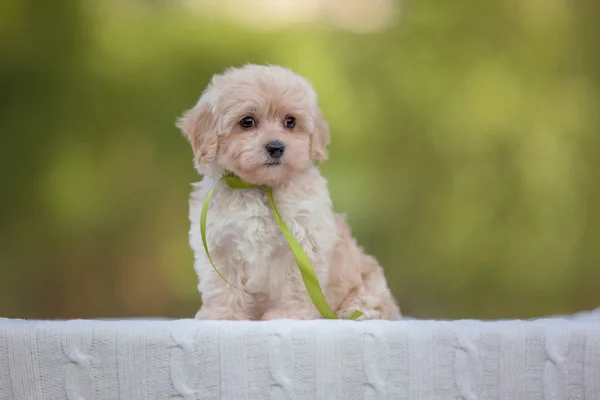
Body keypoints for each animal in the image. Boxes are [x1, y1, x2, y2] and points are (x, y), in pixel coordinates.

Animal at [177, 64, 404, 320]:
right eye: (247, 121)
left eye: (290, 122)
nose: (276, 147)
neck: (261, 188)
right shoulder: (219, 245)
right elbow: (221, 285)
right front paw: (223, 314)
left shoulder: (302, 243)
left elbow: (296, 284)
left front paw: (288, 314)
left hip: (369, 283)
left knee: (376, 303)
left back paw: (357, 311)